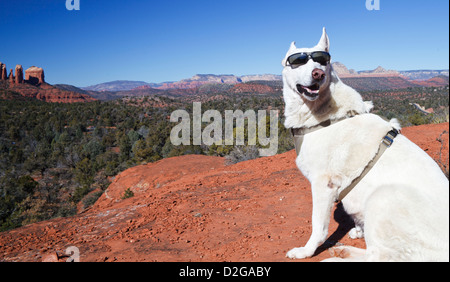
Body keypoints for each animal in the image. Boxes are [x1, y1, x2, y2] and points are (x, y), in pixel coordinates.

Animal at [284, 27, 448, 262]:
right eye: (297, 61)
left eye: (323, 61)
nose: (318, 74)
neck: (324, 114)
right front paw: (359, 229)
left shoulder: (323, 184)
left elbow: (318, 227)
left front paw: (305, 251)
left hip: (383, 197)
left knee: (378, 256)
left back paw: (337, 255)